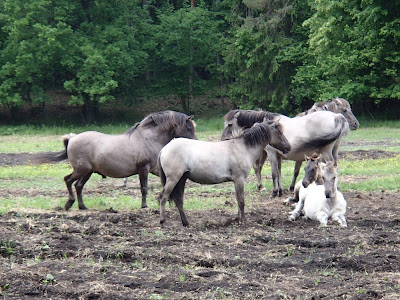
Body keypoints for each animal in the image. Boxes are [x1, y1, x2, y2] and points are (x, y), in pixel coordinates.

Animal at [34, 110, 197, 211]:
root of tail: (72, 138)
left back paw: (82, 206)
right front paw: (144, 206)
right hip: (81, 170)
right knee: (68, 180)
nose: (196, 141)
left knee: (78, 186)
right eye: (189, 128)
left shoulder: (155, 169)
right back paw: (69, 203)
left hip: (87, 172)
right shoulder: (143, 168)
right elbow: (144, 188)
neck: (148, 138)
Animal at [156, 118, 290, 226]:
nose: (288, 147)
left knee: (179, 200)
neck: (242, 148)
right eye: (279, 131)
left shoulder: (236, 181)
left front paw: (238, 219)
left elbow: (238, 199)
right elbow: (241, 200)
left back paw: (186, 223)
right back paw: (163, 221)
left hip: (182, 179)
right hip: (173, 179)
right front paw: (243, 220)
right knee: (163, 197)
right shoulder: (239, 179)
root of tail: (164, 149)